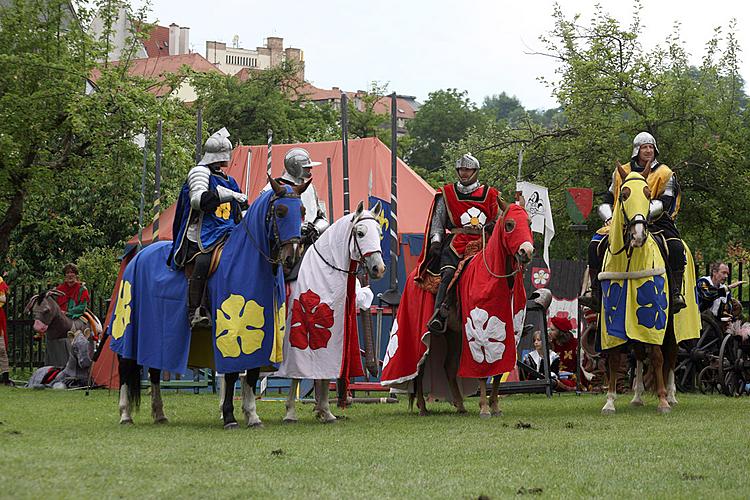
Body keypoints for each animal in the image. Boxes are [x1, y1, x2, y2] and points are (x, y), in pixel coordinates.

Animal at [276, 201, 388, 424]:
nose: (378, 268)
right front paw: (291, 411)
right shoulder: (300, 338)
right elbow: (296, 374)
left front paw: (324, 410)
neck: (326, 268)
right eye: (360, 233)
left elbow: (326, 374)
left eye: (379, 232)